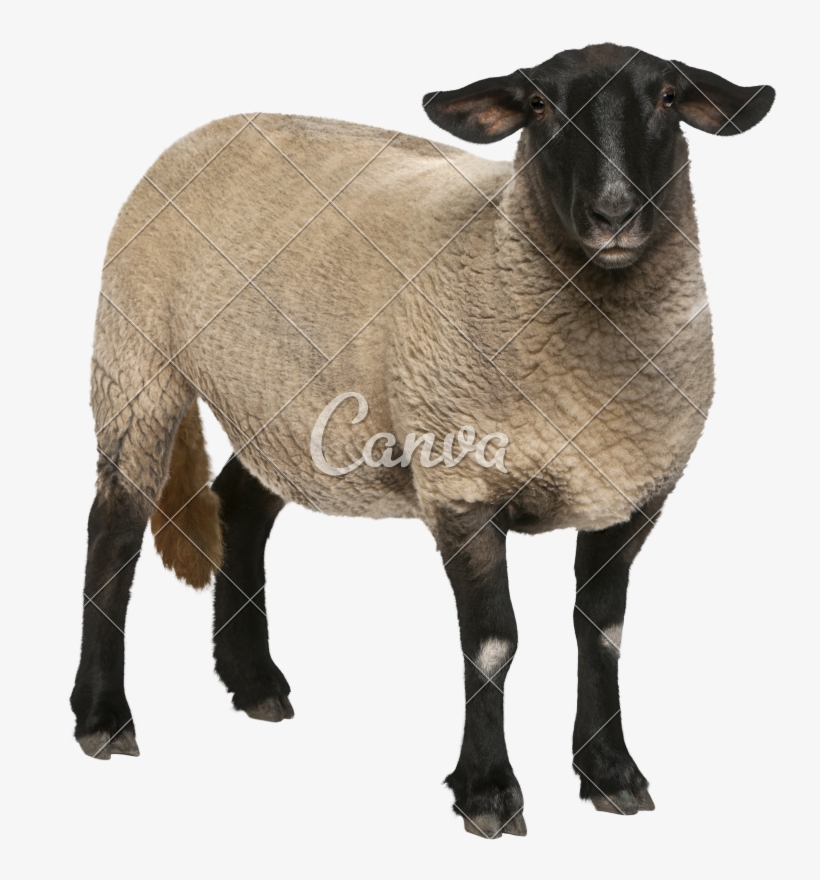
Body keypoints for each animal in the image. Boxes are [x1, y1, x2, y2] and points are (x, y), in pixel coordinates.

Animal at [71, 42, 774, 837]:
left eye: (668, 97)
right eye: (540, 107)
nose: (615, 213)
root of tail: (210, 128)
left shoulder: (632, 493)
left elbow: (602, 633)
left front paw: (611, 772)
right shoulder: (462, 486)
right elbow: (494, 643)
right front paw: (489, 791)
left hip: (286, 407)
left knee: (238, 509)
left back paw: (254, 684)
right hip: (137, 361)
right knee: (113, 529)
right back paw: (102, 717)